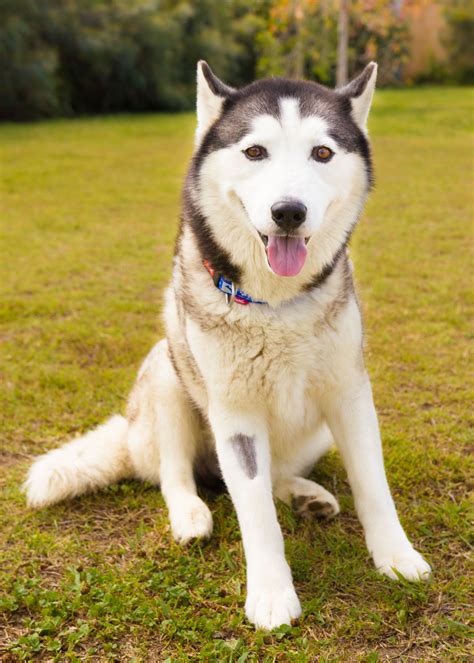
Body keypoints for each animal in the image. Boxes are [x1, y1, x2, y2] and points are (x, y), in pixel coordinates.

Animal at [27, 63, 432, 632]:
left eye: (322, 152)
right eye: (255, 151)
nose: (288, 212)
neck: (277, 304)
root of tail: (130, 433)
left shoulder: (350, 394)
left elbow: (373, 485)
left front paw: (395, 557)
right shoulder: (235, 413)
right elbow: (255, 511)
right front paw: (272, 595)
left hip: (313, 435)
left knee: (269, 472)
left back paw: (304, 495)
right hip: (168, 375)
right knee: (177, 474)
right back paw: (191, 513)